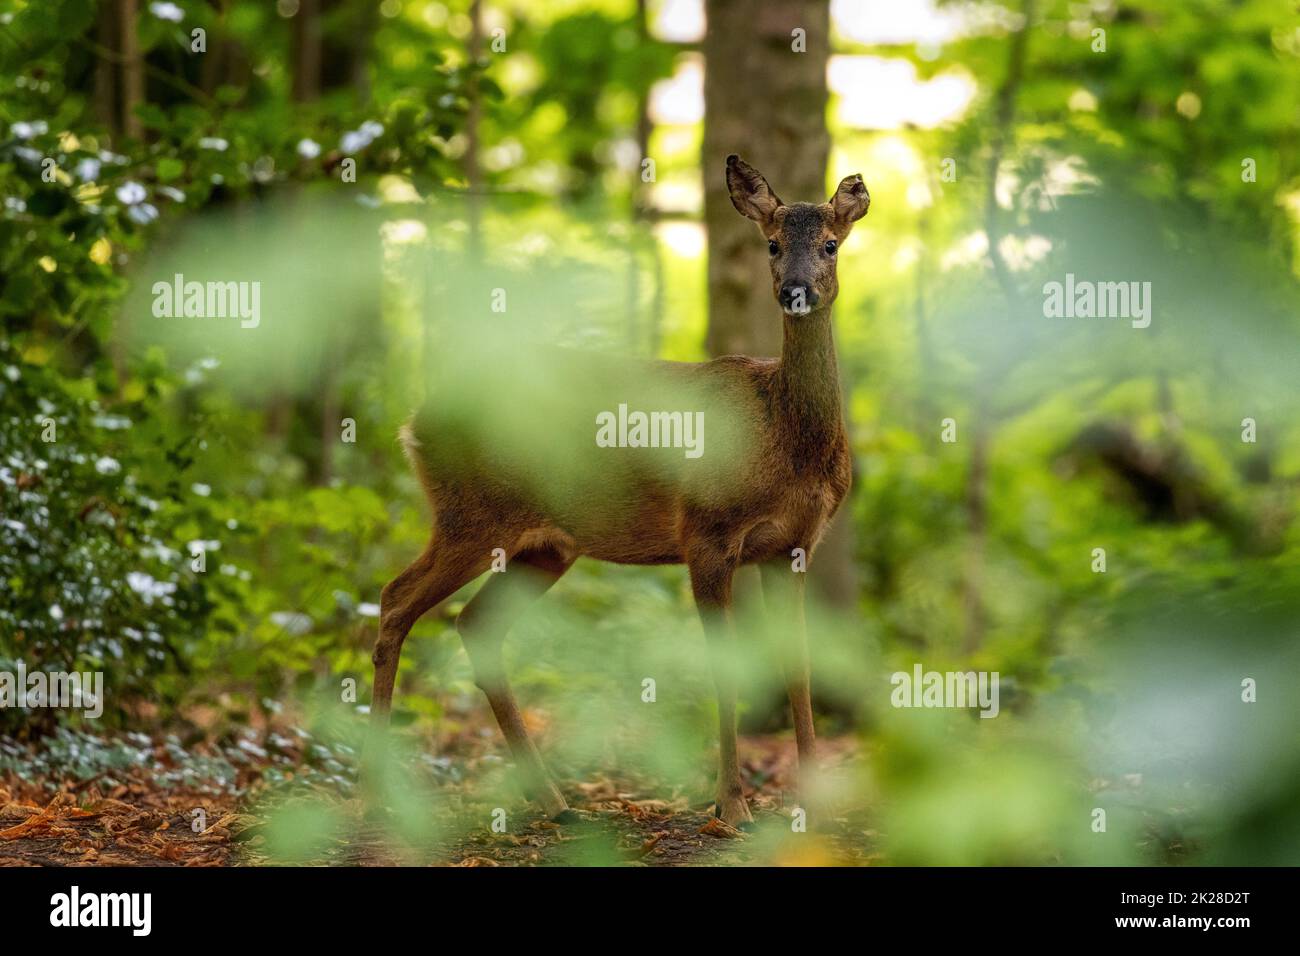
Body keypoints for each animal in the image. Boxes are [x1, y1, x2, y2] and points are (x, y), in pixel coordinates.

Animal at [369, 155, 869, 828]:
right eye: (771, 243)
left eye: (830, 244)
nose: (796, 290)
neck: (783, 439)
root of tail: (414, 423)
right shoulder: (706, 532)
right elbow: (724, 672)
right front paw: (730, 806)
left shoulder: (792, 547)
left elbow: (800, 668)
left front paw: (813, 806)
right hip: (469, 515)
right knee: (395, 600)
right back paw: (373, 795)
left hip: (543, 546)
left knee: (474, 624)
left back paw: (555, 802)